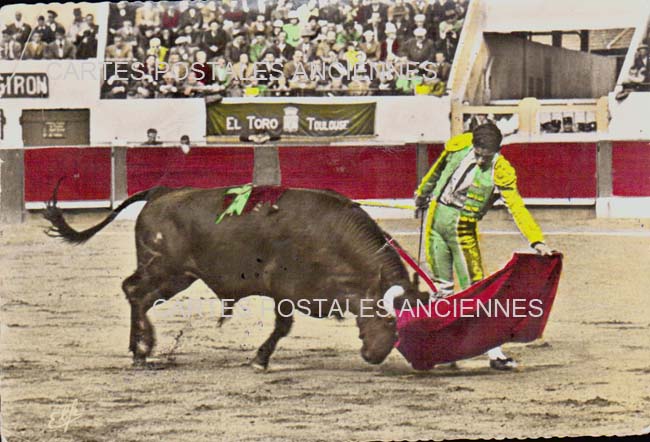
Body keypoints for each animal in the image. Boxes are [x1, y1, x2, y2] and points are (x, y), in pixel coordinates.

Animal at [43, 183, 422, 370]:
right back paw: (142, 349)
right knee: (134, 291)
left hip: (177, 275)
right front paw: (259, 360)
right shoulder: (285, 289)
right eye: (391, 320)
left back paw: (140, 349)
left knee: (139, 296)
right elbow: (282, 327)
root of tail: (159, 193)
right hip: (163, 267)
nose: (374, 357)